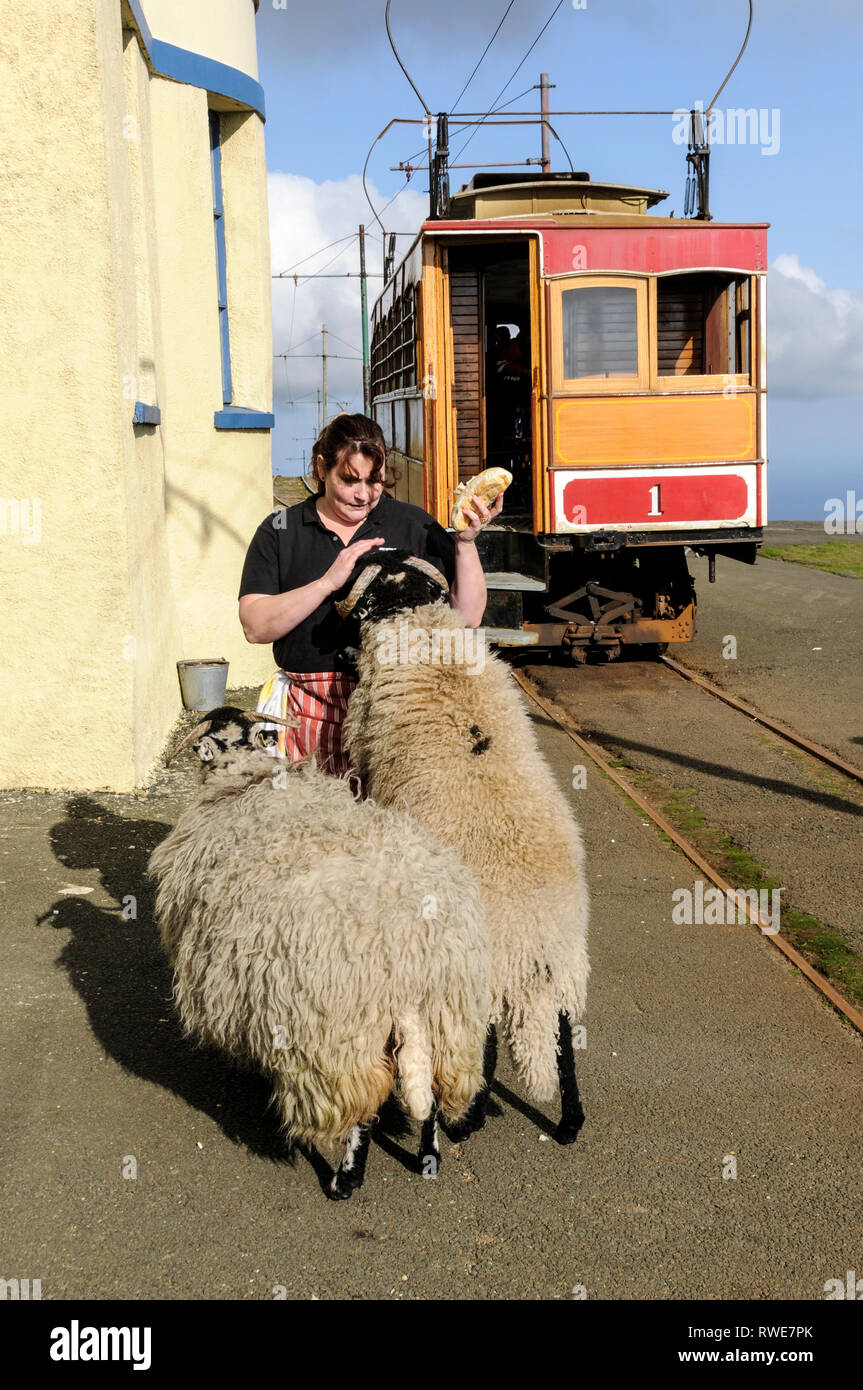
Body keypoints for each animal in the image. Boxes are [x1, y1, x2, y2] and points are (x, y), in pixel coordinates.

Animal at [148, 706, 491, 1195]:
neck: (244, 778)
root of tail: (411, 956)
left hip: (339, 1040)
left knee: (361, 1110)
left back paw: (345, 1179)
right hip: (450, 1020)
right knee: (433, 1092)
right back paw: (429, 1157)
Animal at [340, 547, 589, 1145]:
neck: (418, 619)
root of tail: (531, 937)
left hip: (468, 975)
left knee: (479, 1049)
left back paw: (465, 1122)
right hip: (567, 963)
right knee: (565, 1037)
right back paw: (570, 1121)